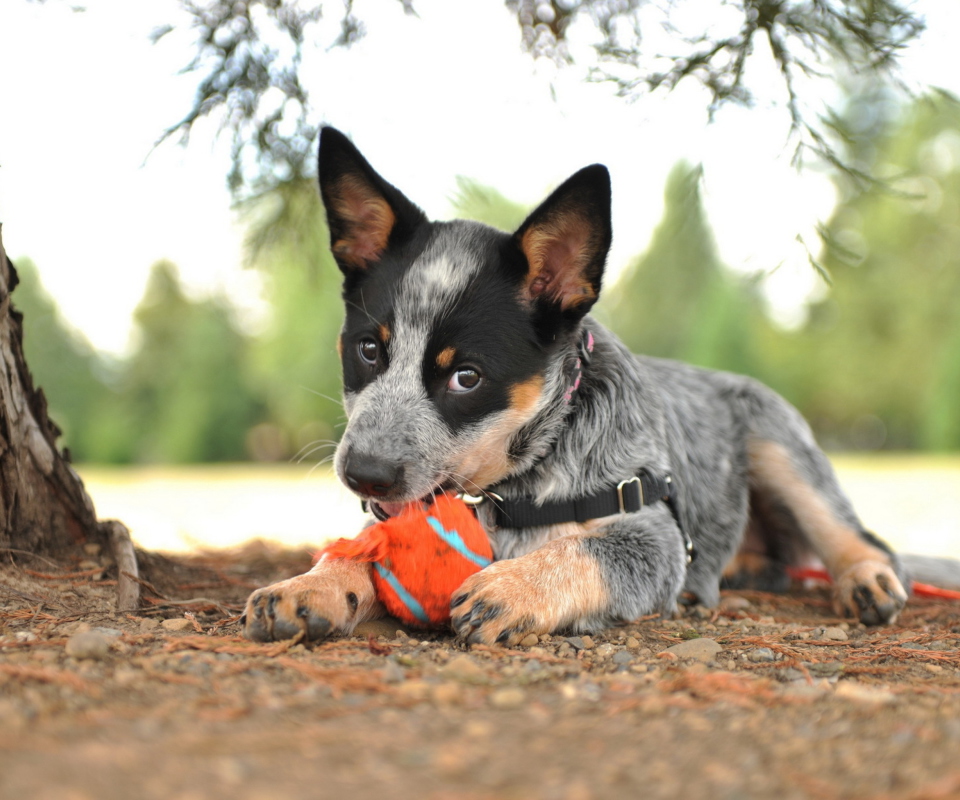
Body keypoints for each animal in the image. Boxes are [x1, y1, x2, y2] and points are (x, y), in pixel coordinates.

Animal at [244, 128, 912, 648]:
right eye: (369, 349)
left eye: (466, 376)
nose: (364, 473)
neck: (509, 491)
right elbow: (358, 547)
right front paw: (310, 585)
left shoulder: (654, 538)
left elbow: (587, 551)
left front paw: (514, 587)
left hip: (779, 447)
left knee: (862, 537)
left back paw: (866, 580)